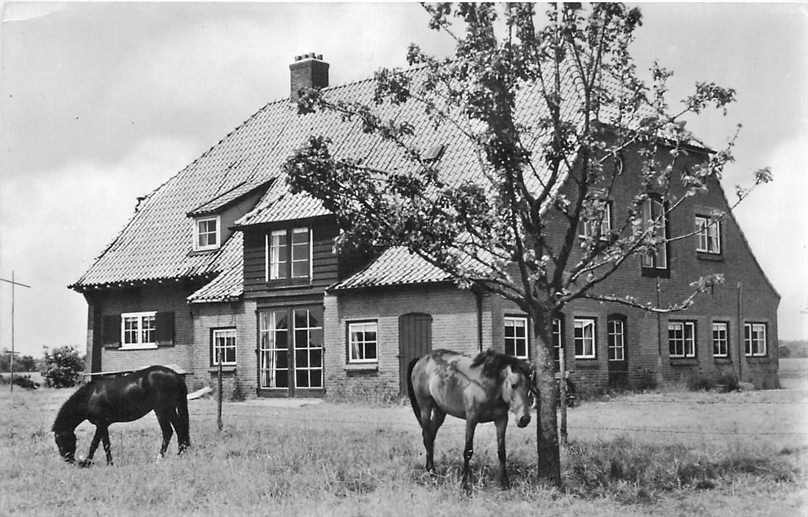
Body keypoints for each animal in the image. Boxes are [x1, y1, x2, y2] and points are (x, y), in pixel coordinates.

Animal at [52, 364, 190, 466]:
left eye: (60, 440)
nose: (69, 461)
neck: (90, 397)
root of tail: (175, 375)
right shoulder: (103, 425)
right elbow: (104, 444)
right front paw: (107, 463)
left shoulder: (101, 423)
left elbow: (96, 444)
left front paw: (89, 463)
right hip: (169, 410)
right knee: (179, 430)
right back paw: (180, 455)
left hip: (163, 410)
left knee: (169, 432)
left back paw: (160, 458)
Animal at [408, 346, 532, 488]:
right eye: (513, 385)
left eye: (529, 386)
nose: (524, 419)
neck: (485, 386)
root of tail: (421, 359)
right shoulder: (471, 419)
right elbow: (468, 451)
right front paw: (465, 484)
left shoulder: (501, 420)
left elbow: (502, 452)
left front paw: (505, 483)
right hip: (425, 407)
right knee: (427, 437)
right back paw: (432, 474)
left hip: (440, 411)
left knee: (430, 436)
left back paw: (432, 471)